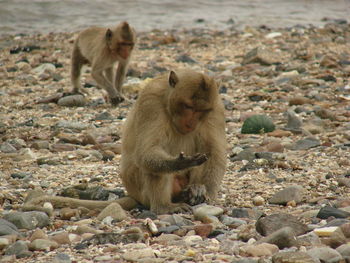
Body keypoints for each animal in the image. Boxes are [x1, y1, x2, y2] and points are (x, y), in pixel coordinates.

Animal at [120, 69, 227, 216]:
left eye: (201, 110)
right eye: (188, 107)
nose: (190, 123)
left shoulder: (216, 109)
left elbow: (213, 152)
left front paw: (206, 192)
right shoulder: (150, 102)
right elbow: (148, 151)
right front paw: (180, 163)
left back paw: (193, 190)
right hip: (140, 191)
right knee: (153, 167)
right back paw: (163, 206)